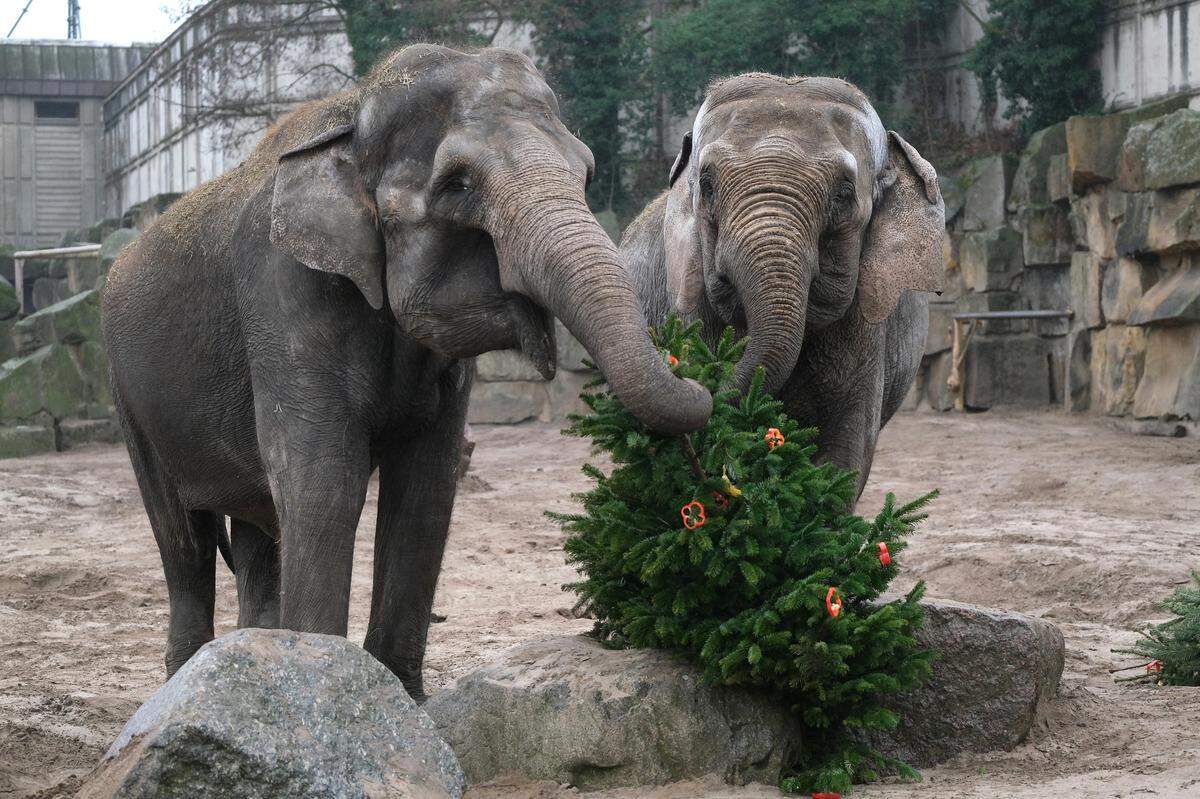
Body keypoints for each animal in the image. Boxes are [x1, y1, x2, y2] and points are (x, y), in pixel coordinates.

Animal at [101, 44, 711, 698]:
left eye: (589, 175)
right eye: (458, 184)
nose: (695, 370)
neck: (354, 112)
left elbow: (425, 488)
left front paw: (399, 696)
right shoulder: (281, 287)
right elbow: (323, 479)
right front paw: (324, 682)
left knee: (256, 531)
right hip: (128, 397)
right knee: (182, 537)